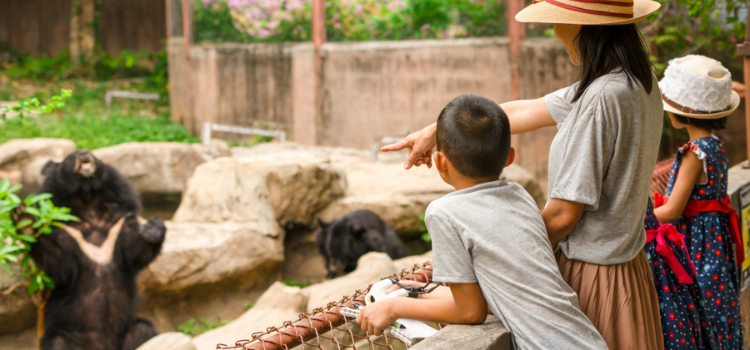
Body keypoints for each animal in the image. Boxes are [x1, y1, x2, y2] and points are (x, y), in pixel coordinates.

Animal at [12, 150, 166, 350]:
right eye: (71, 157)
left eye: (93, 155)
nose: (84, 153)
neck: (87, 198)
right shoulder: (65, 231)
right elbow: (60, 265)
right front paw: (24, 219)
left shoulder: (118, 223)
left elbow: (135, 252)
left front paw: (152, 228)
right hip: (66, 334)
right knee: (57, 342)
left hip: (127, 328)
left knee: (142, 331)